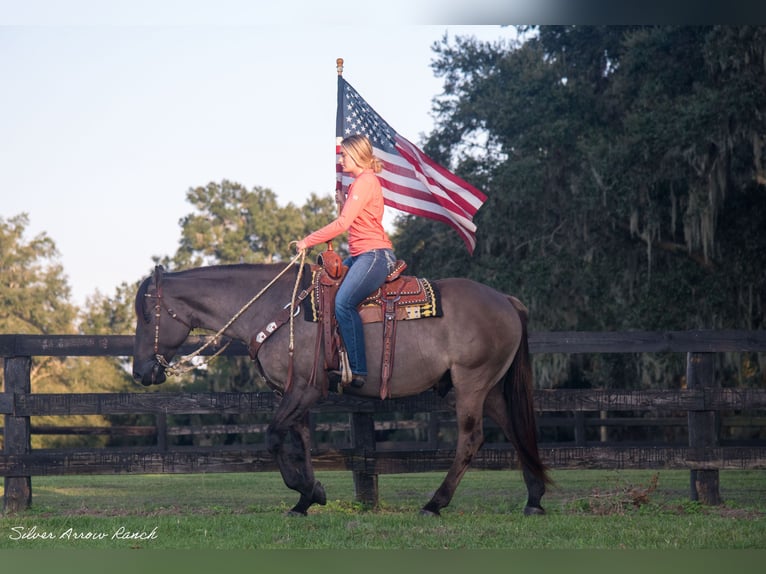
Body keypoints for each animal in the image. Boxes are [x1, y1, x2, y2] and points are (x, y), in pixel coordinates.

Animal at [134, 260, 552, 516]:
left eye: (147, 314)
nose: (141, 373)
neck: (277, 308)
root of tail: (507, 300)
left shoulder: (305, 389)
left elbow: (273, 437)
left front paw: (305, 492)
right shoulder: (293, 393)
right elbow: (300, 442)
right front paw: (307, 497)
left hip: (470, 384)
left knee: (471, 439)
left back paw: (435, 503)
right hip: (490, 389)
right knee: (515, 431)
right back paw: (534, 498)